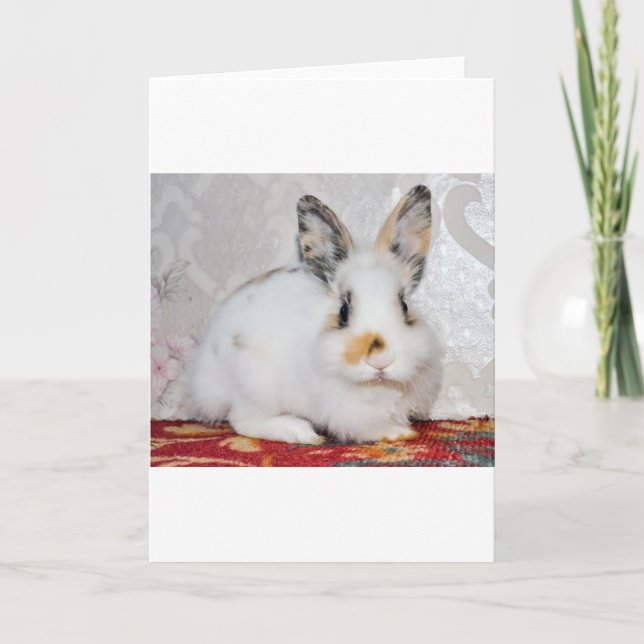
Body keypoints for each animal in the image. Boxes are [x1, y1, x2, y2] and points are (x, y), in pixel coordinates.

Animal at [189, 184, 443, 444]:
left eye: (404, 306)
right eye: (343, 312)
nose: (381, 361)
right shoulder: (348, 411)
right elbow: (368, 427)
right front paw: (397, 432)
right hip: (255, 387)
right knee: (243, 421)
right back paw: (300, 432)